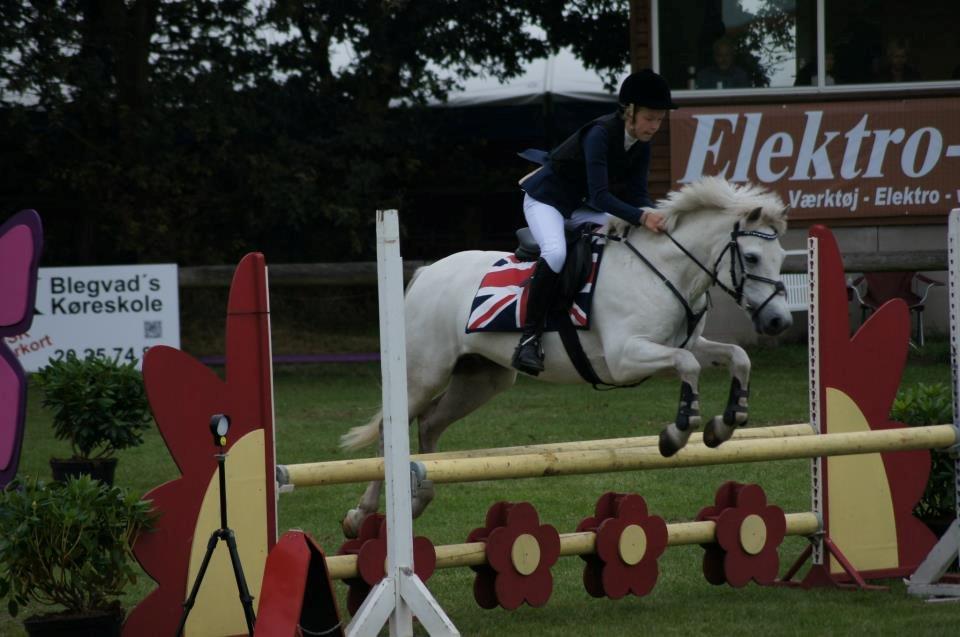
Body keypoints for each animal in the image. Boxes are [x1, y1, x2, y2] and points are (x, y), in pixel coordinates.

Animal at [342, 175, 792, 536]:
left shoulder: (686, 344)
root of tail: (426, 273)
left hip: (481, 378)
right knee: (390, 431)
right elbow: (690, 367)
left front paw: (725, 423)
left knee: (431, 423)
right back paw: (361, 515)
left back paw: (418, 497)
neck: (663, 272)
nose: (778, 321)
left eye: (781, 259)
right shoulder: (625, 358)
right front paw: (678, 433)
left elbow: (736, 356)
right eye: (751, 257)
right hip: (422, 374)